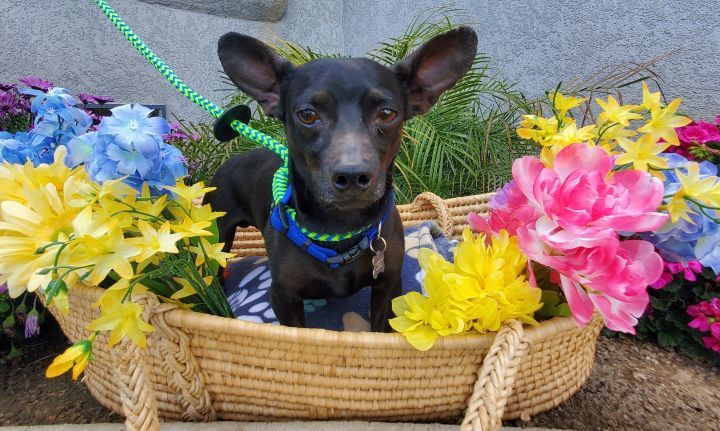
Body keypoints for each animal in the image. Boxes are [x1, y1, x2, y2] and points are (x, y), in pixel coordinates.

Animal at [208, 27, 478, 330]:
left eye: (387, 113)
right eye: (307, 115)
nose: (352, 175)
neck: (340, 226)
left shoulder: (387, 287)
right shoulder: (284, 298)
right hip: (218, 235)